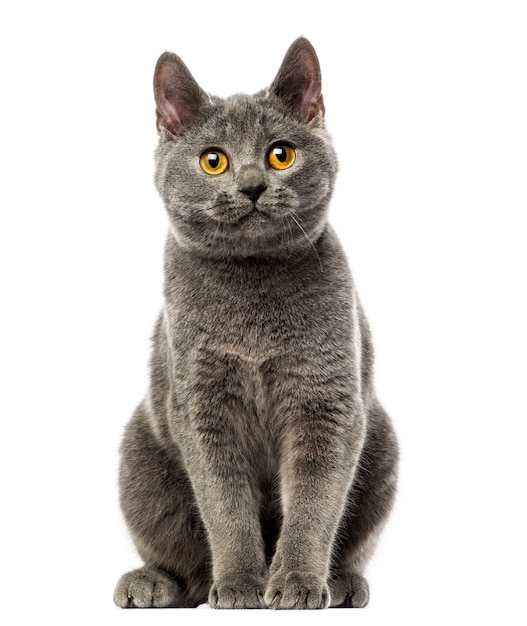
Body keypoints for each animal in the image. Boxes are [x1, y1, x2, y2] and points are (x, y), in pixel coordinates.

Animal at [113, 36, 398, 608]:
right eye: (213, 161)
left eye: (280, 154)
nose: (250, 186)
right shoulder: (201, 405)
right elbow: (224, 506)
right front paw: (242, 584)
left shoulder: (327, 401)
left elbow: (314, 503)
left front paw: (297, 584)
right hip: (138, 456)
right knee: (182, 563)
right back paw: (150, 583)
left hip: (382, 442)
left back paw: (343, 583)